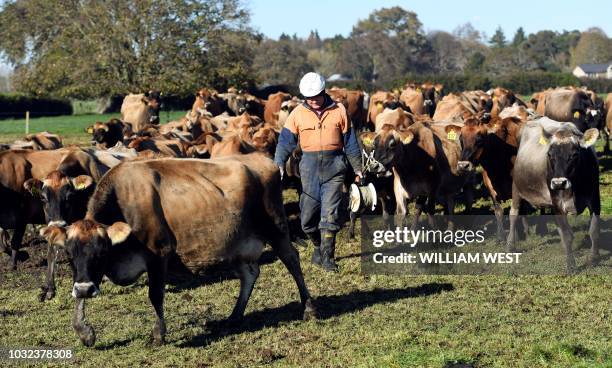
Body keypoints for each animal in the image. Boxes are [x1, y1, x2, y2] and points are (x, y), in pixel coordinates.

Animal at [40, 155, 316, 348]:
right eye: (71, 255)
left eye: (100, 253)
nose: (85, 288)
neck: (123, 201)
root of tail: (263, 160)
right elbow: (79, 297)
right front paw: (84, 332)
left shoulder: (158, 254)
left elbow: (155, 295)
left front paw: (158, 335)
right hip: (234, 244)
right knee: (249, 274)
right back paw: (235, 316)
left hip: (276, 227)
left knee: (292, 261)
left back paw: (308, 307)